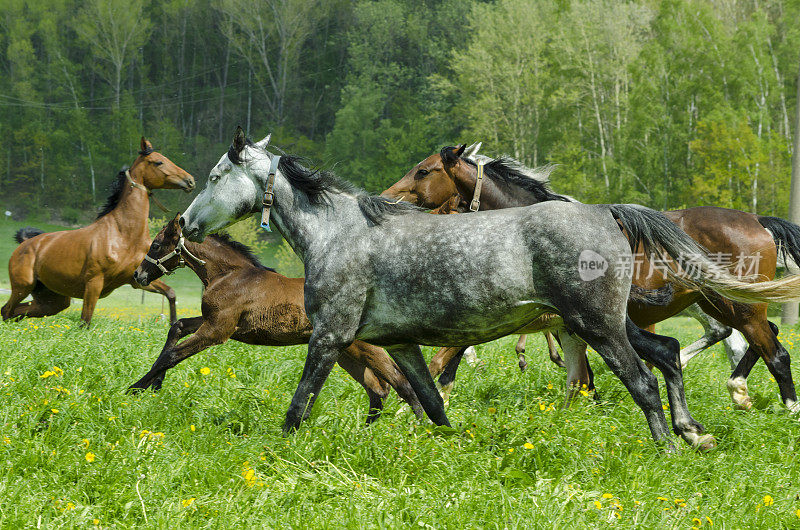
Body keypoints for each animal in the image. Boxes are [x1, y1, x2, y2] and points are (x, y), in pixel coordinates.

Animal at [1, 138, 195, 324]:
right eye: (158, 162)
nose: (190, 180)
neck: (124, 235)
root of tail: (24, 244)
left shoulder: (138, 279)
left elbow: (171, 293)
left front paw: (173, 322)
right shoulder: (94, 283)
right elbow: (85, 321)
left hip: (52, 301)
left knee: (16, 312)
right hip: (22, 287)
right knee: (7, 310)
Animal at [130, 212, 424, 422]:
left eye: (156, 245)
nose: (138, 275)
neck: (230, 275)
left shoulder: (217, 330)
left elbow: (172, 355)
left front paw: (134, 388)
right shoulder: (214, 322)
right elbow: (178, 327)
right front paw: (152, 385)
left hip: (366, 349)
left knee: (401, 384)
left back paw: (420, 430)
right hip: (347, 354)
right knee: (377, 389)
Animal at [382, 143, 800, 408]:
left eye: (423, 171)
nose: (387, 198)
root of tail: (758, 220)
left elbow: (444, 362)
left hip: (736, 305)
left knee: (774, 352)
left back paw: (782, 408)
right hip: (725, 302)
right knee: (759, 339)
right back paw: (739, 391)